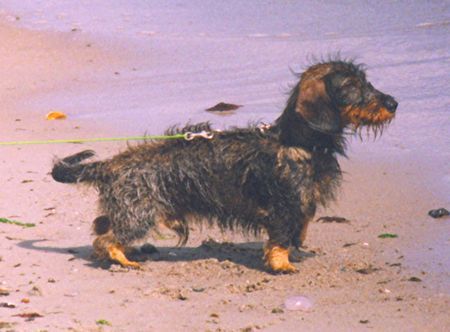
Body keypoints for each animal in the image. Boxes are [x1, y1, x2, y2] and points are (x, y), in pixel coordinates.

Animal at [51, 59, 398, 272]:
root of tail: (110, 165)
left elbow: (300, 226)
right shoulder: (283, 204)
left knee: (101, 227)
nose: (394, 103)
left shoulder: (302, 201)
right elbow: (281, 237)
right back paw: (123, 259)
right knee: (106, 238)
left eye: (366, 82)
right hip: (139, 215)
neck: (298, 142)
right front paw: (282, 264)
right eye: (351, 86)